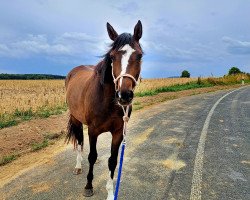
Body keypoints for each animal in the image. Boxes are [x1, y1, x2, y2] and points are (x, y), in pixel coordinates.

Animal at [65, 20, 143, 198]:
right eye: (112, 56)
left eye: (140, 55)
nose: (124, 95)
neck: (107, 101)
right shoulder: (93, 130)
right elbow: (92, 156)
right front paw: (88, 186)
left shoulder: (118, 132)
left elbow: (112, 161)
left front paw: (110, 193)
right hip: (76, 119)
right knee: (80, 141)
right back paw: (78, 166)